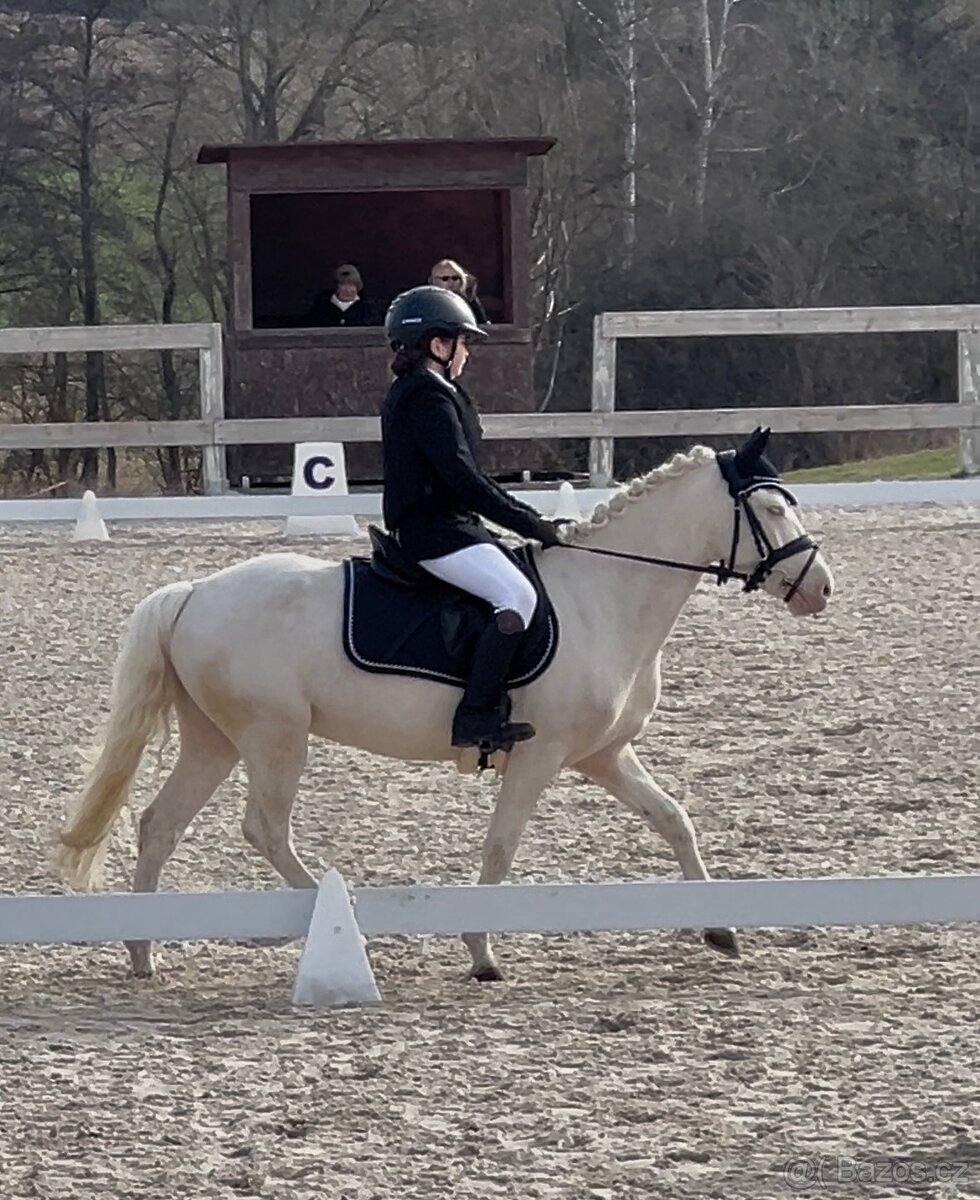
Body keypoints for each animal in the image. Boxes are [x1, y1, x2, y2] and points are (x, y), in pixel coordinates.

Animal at [56, 429, 834, 981]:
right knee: (264, 829)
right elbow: (501, 846)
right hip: (276, 737)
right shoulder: (542, 755)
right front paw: (483, 951)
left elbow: (673, 818)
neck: (604, 597)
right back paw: (344, 925)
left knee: (159, 825)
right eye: (770, 508)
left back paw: (142, 953)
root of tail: (191, 592)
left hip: (215, 740)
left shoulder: (603, 754)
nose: (822, 589)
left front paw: (719, 928)